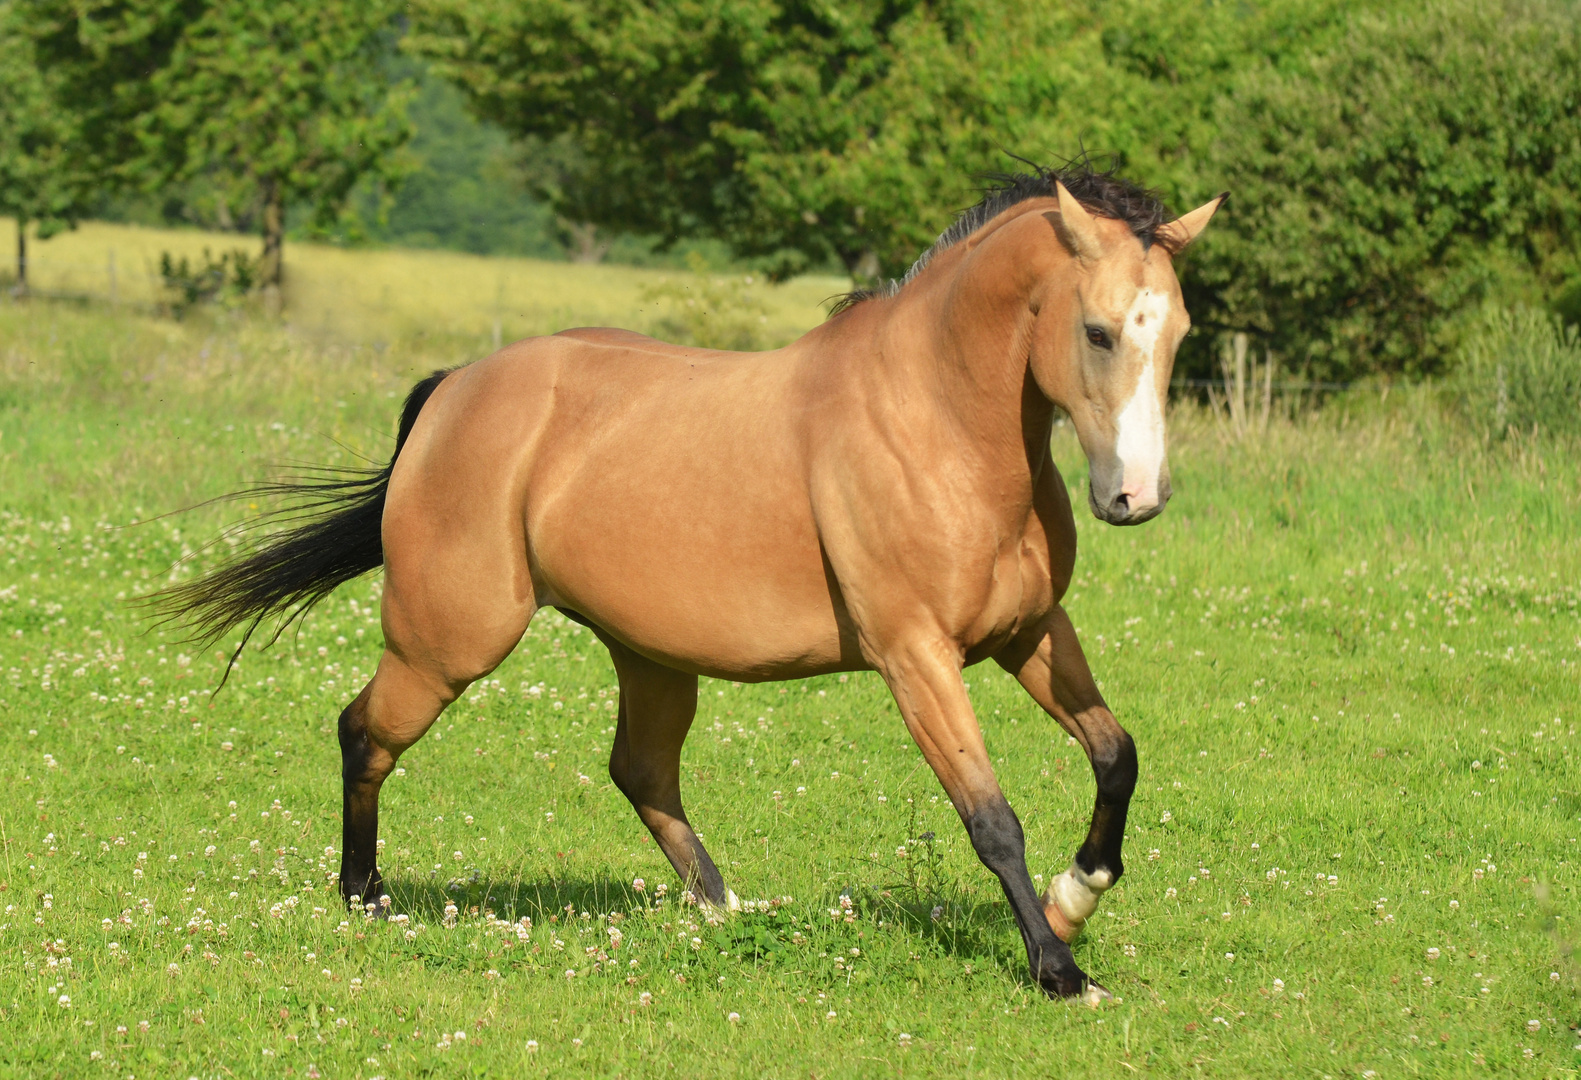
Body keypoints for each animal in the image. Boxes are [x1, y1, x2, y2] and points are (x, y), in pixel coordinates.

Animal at [160, 162, 1220, 1005]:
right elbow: (992, 818)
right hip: (447, 641)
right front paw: (1060, 971)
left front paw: (1074, 901)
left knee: (639, 771)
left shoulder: (1029, 633)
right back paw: (365, 895)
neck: (936, 422)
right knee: (365, 732)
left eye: (1176, 334)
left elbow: (1116, 756)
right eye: (1096, 332)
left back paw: (722, 905)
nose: (1134, 497)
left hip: (648, 655)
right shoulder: (915, 655)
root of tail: (455, 389)